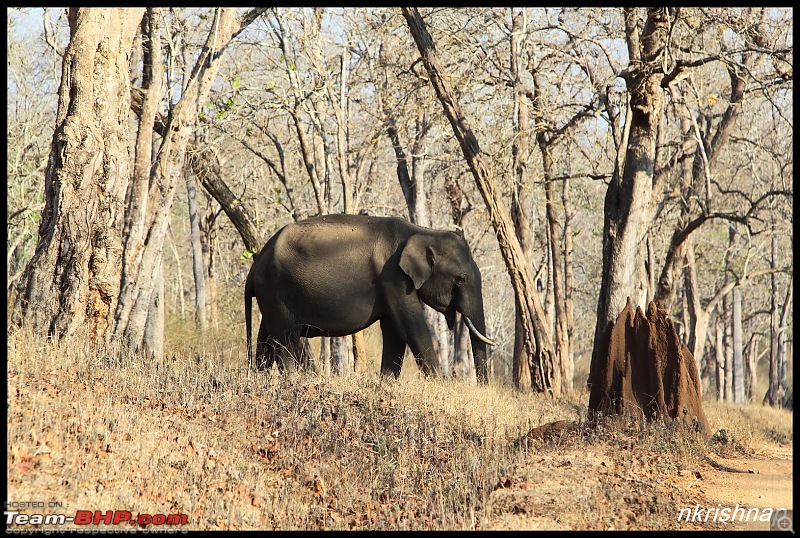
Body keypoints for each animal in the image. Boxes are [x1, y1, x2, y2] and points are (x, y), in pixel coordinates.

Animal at [244, 211, 496, 378]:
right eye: (461, 278)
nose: (482, 385)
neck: (421, 232)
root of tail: (256, 264)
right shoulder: (393, 278)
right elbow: (411, 328)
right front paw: (441, 385)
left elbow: (394, 332)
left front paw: (386, 384)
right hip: (276, 290)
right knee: (285, 339)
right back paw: (293, 379)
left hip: (271, 296)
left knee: (267, 336)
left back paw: (260, 377)